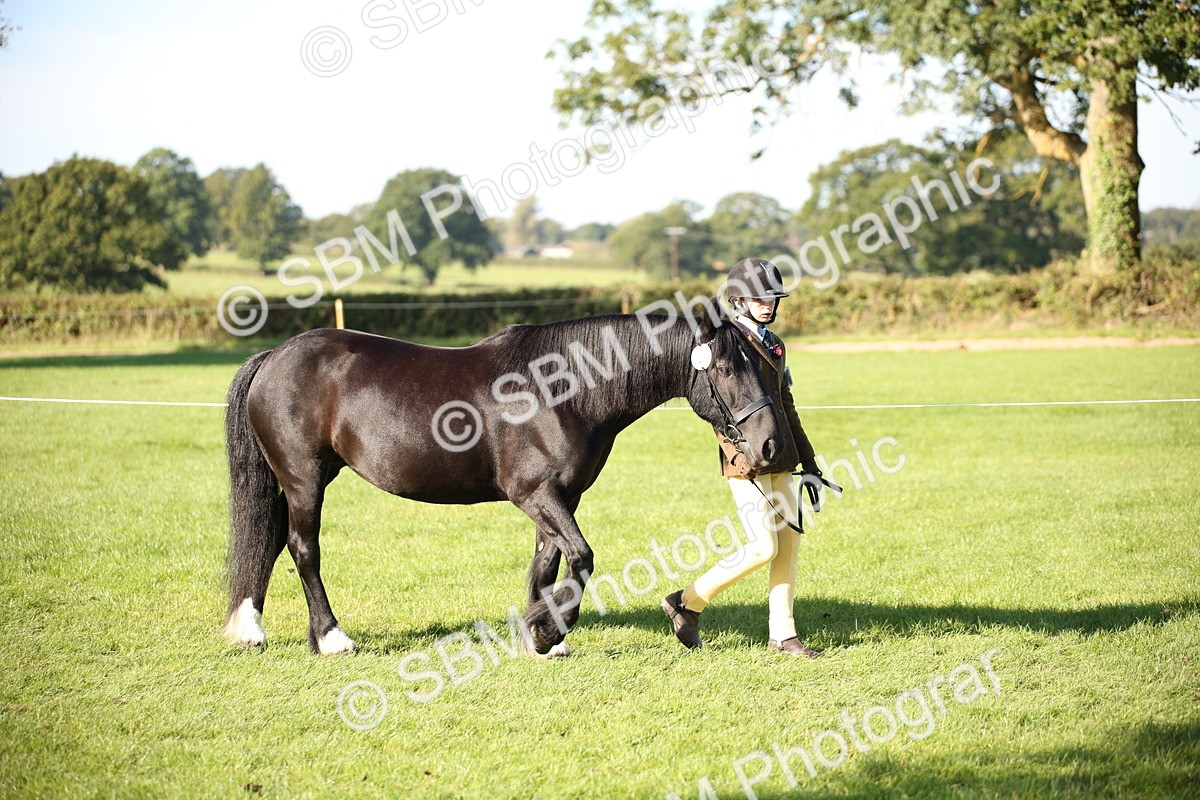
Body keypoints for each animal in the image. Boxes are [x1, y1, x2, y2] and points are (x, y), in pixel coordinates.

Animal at [222, 299, 785, 656]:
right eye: (729, 368)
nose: (768, 445)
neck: (563, 391)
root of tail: (274, 356)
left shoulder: (561, 499)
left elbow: (547, 566)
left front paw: (542, 636)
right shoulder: (535, 495)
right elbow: (581, 559)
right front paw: (545, 631)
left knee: (270, 540)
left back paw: (249, 629)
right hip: (304, 479)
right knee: (302, 548)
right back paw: (331, 637)